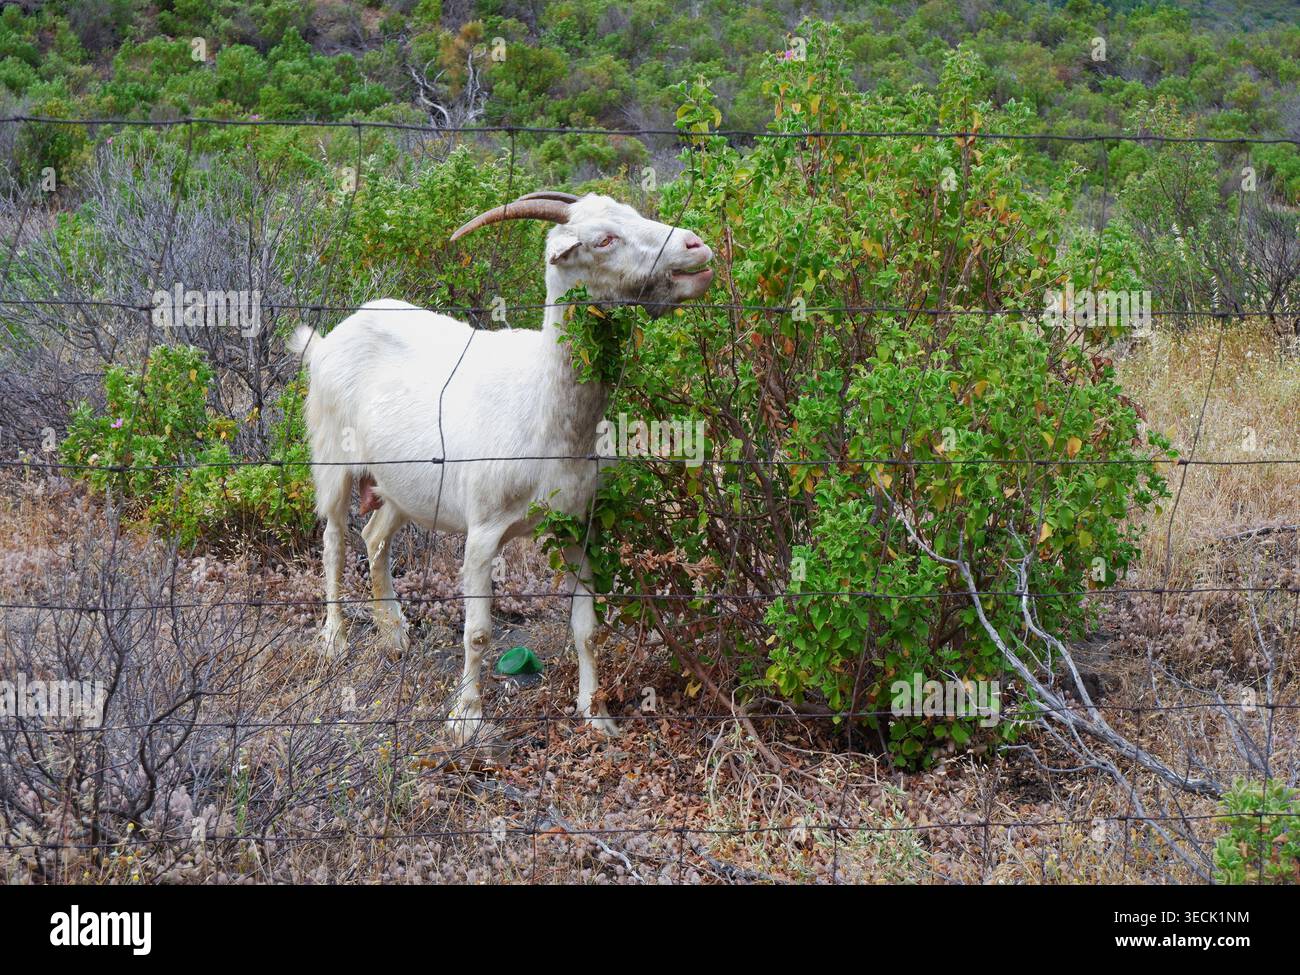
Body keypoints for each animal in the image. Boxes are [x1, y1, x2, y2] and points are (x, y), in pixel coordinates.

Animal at [290, 191, 714, 742]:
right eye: (603, 239)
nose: (696, 247)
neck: (542, 407)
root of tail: (328, 339)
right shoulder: (483, 531)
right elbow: (478, 632)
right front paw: (466, 718)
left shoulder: (577, 522)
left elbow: (587, 628)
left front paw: (595, 714)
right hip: (332, 455)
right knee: (335, 542)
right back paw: (335, 641)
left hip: (406, 483)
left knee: (376, 536)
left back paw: (395, 634)